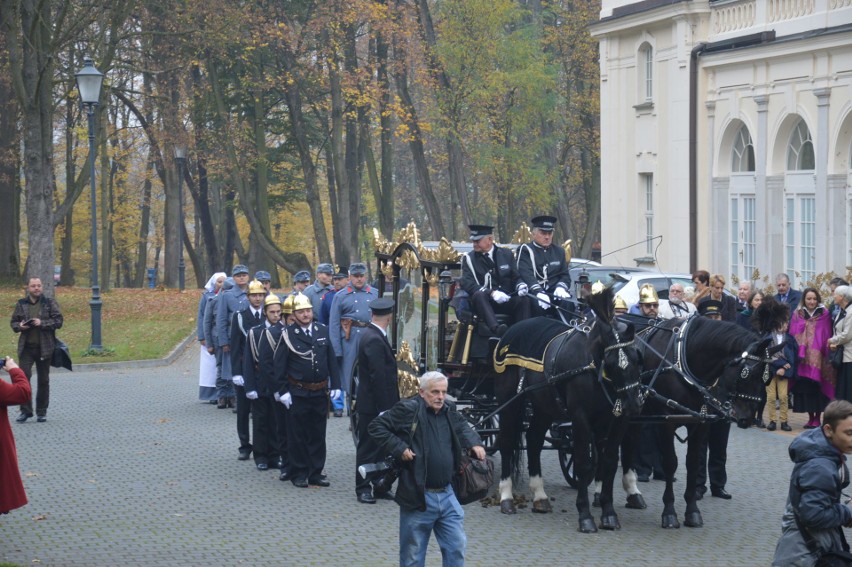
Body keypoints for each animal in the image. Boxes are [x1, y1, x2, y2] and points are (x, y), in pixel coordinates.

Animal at [496, 290, 644, 536]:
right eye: (612, 362)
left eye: (636, 358)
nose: (634, 403)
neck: (592, 366)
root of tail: (512, 329)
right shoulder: (580, 418)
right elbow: (584, 463)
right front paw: (585, 515)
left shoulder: (617, 421)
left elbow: (609, 462)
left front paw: (608, 513)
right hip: (509, 402)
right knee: (506, 441)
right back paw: (506, 496)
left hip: (544, 407)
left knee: (534, 439)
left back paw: (539, 496)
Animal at [624, 318, 780, 532]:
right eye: (747, 373)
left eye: (768, 378)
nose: (747, 419)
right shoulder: (666, 422)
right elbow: (671, 463)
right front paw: (669, 513)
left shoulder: (699, 423)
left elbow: (693, 462)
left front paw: (692, 512)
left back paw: (632, 494)